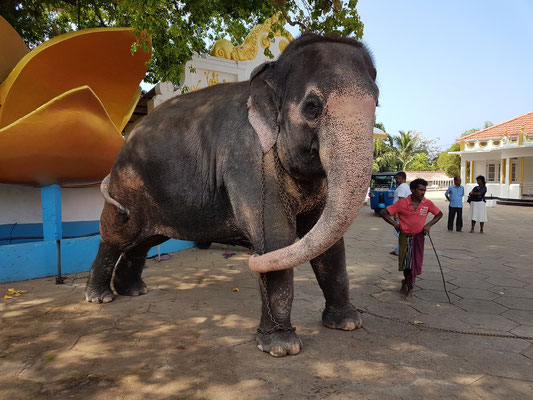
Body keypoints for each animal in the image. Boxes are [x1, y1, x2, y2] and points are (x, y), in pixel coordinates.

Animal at [85, 34, 378, 358]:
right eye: (312, 106)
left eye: (377, 103)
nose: (249, 255)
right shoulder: (246, 159)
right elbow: (275, 238)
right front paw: (282, 348)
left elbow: (330, 245)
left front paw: (347, 324)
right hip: (126, 185)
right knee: (117, 234)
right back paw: (99, 297)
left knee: (145, 241)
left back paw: (134, 291)